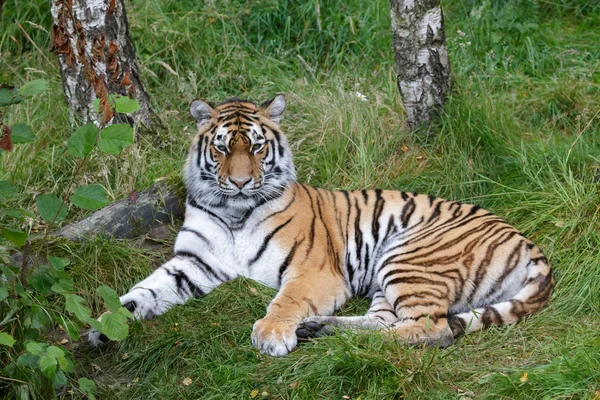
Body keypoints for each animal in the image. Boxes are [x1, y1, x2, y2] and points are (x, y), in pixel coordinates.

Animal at [88, 94, 552, 356]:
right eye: (221, 149)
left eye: (256, 147)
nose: (239, 182)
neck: (234, 210)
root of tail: (528, 243)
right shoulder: (192, 262)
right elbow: (143, 291)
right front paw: (101, 328)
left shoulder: (313, 271)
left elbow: (285, 300)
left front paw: (271, 334)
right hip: (390, 276)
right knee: (388, 322)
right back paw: (323, 330)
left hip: (407, 254)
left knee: (432, 330)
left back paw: (329, 335)